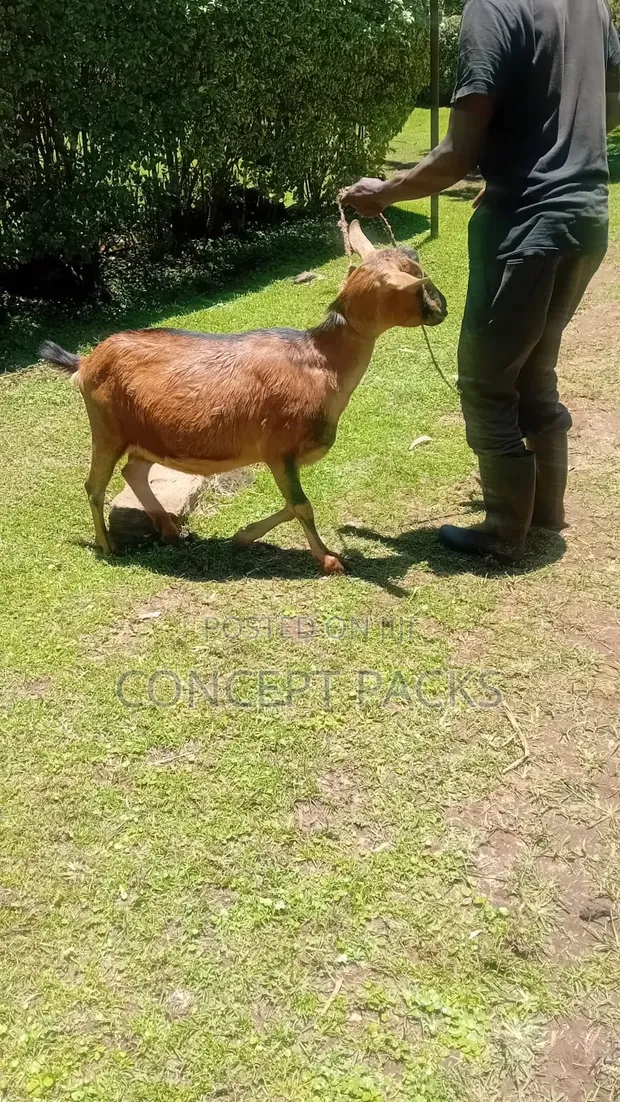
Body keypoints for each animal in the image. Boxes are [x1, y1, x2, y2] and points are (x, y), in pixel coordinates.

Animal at [40, 222, 447, 573]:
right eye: (415, 282)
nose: (441, 307)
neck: (321, 361)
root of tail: (86, 362)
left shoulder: (281, 455)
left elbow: (292, 504)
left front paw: (242, 537)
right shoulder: (278, 448)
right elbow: (301, 505)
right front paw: (330, 560)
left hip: (146, 435)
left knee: (133, 471)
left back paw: (171, 532)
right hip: (106, 429)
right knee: (94, 485)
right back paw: (108, 545)